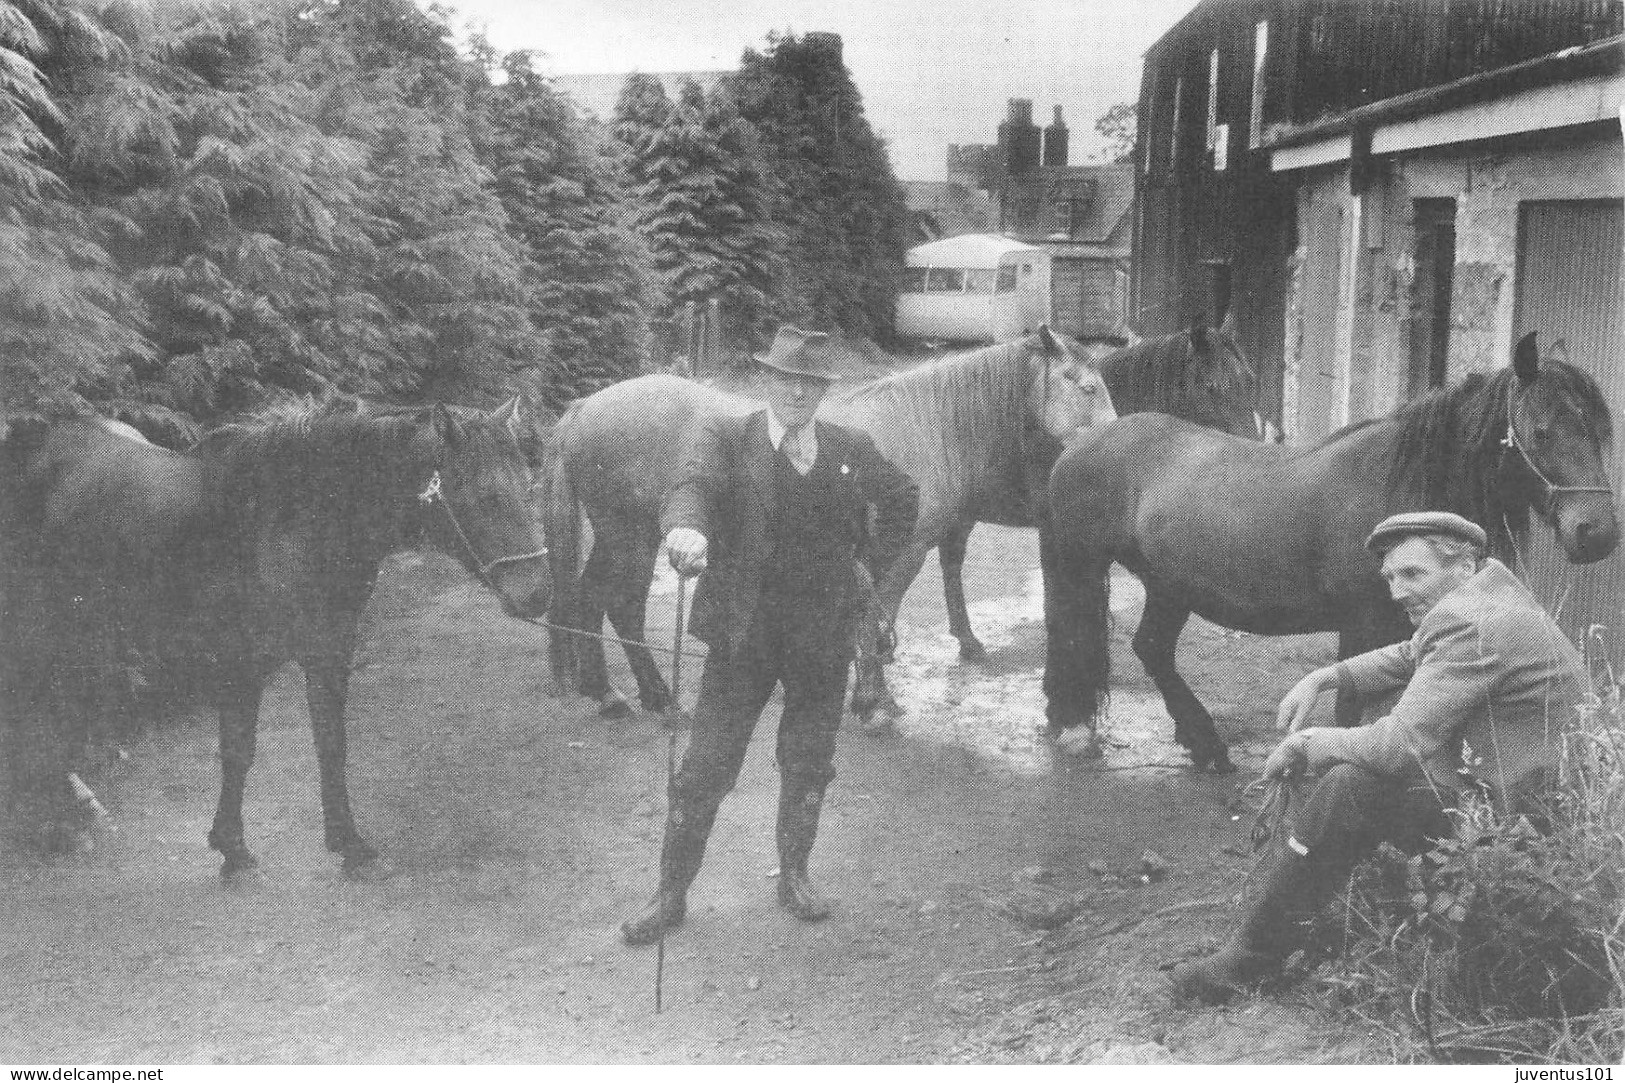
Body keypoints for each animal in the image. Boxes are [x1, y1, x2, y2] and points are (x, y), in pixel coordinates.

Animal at [0, 398, 549, 878]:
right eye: (481, 496)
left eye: (529, 487)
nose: (537, 593)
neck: (290, 526)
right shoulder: (240, 663)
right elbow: (238, 752)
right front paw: (233, 849)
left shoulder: (328, 652)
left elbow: (331, 744)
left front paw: (350, 845)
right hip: (41, 625)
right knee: (33, 708)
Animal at [546, 325, 1118, 722]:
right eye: (1088, 387)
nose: (1118, 440)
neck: (926, 426)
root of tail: (586, 407)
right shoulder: (901, 553)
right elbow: (876, 616)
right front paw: (874, 702)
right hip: (628, 536)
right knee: (611, 602)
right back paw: (631, 696)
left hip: (630, 536)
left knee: (600, 602)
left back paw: (630, 694)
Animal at [1040, 328, 1612, 767]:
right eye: (1541, 430)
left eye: (1601, 431)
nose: (1596, 532)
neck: (1398, 488)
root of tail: (1083, 445)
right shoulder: (1361, 626)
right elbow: (1352, 713)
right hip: (1082, 567)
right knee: (1073, 633)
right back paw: (1076, 728)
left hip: (1169, 586)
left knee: (1152, 649)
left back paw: (1204, 744)